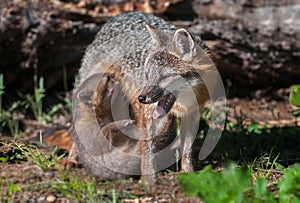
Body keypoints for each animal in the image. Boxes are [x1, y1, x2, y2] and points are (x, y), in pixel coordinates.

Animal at [71, 10, 214, 182]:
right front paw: (148, 181)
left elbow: (187, 150)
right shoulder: (146, 113)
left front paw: (189, 173)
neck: (183, 103)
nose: (141, 98)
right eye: (147, 75)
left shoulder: (193, 113)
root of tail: (124, 14)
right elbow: (147, 152)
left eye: (164, 77)